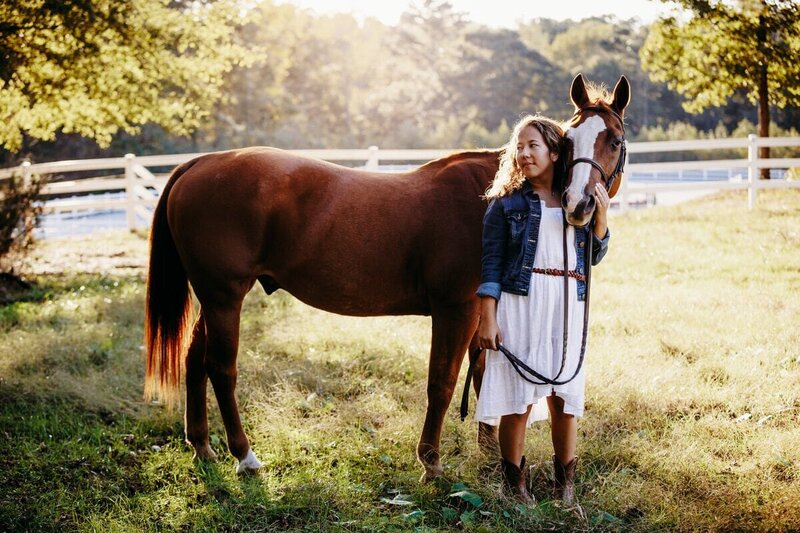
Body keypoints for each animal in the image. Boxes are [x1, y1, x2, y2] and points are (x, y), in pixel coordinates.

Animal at [145, 71, 632, 478]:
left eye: (612, 139)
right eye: (570, 140)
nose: (578, 205)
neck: (490, 196)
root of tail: (199, 163)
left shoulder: (483, 315)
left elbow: (480, 375)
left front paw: (489, 452)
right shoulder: (455, 311)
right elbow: (443, 383)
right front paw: (431, 462)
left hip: (213, 299)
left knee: (194, 359)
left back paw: (202, 447)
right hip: (225, 297)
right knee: (220, 368)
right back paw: (244, 455)